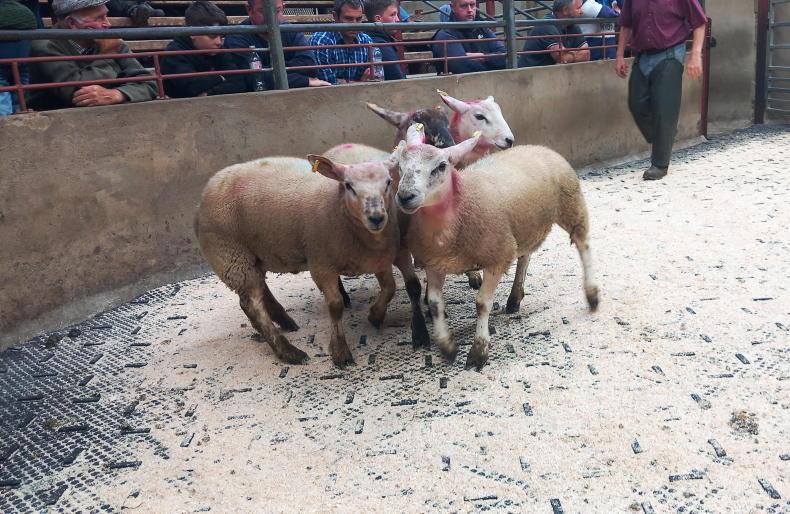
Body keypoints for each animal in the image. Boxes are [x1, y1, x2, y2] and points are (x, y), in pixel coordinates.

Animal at [195, 155, 429, 367]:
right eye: (348, 185)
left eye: (388, 182)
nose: (376, 217)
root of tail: (206, 191)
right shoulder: (321, 265)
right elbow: (335, 306)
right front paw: (340, 352)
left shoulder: (379, 259)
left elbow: (390, 288)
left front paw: (375, 316)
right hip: (231, 256)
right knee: (251, 306)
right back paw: (289, 352)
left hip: (253, 256)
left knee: (261, 290)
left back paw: (286, 322)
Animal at [393, 124, 599, 370]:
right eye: (400, 166)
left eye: (441, 166)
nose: (405, 196)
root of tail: (539, 147)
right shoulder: (435, 262)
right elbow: (434, 304)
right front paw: (447, 346)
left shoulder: (497, 257)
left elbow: (482, 303)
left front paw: (479, 351)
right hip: (524, 228)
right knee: (525, 257)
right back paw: (515, 298)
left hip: (571, 204)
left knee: (583, 246)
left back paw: (592, 294)